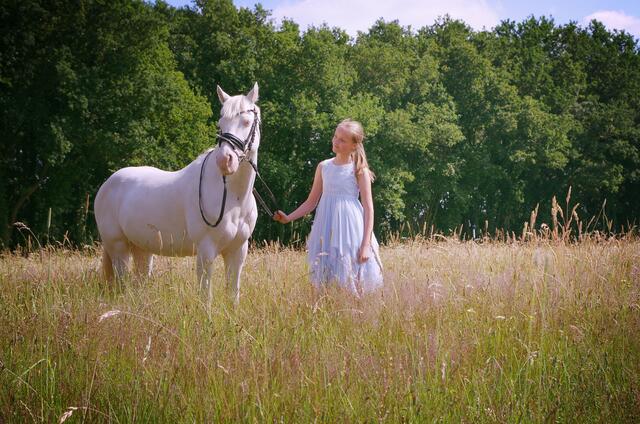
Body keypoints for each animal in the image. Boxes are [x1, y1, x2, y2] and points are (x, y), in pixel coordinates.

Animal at [94, 83, 261, 305]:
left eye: (247, 121)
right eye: (220, 124)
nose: (225, 161)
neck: (233, 199)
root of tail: (107, 184)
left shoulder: (237, 251)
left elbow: (233, 294)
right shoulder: (206, 250)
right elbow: (205, 295)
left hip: (142, 249)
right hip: (118, 247)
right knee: (122, 281)